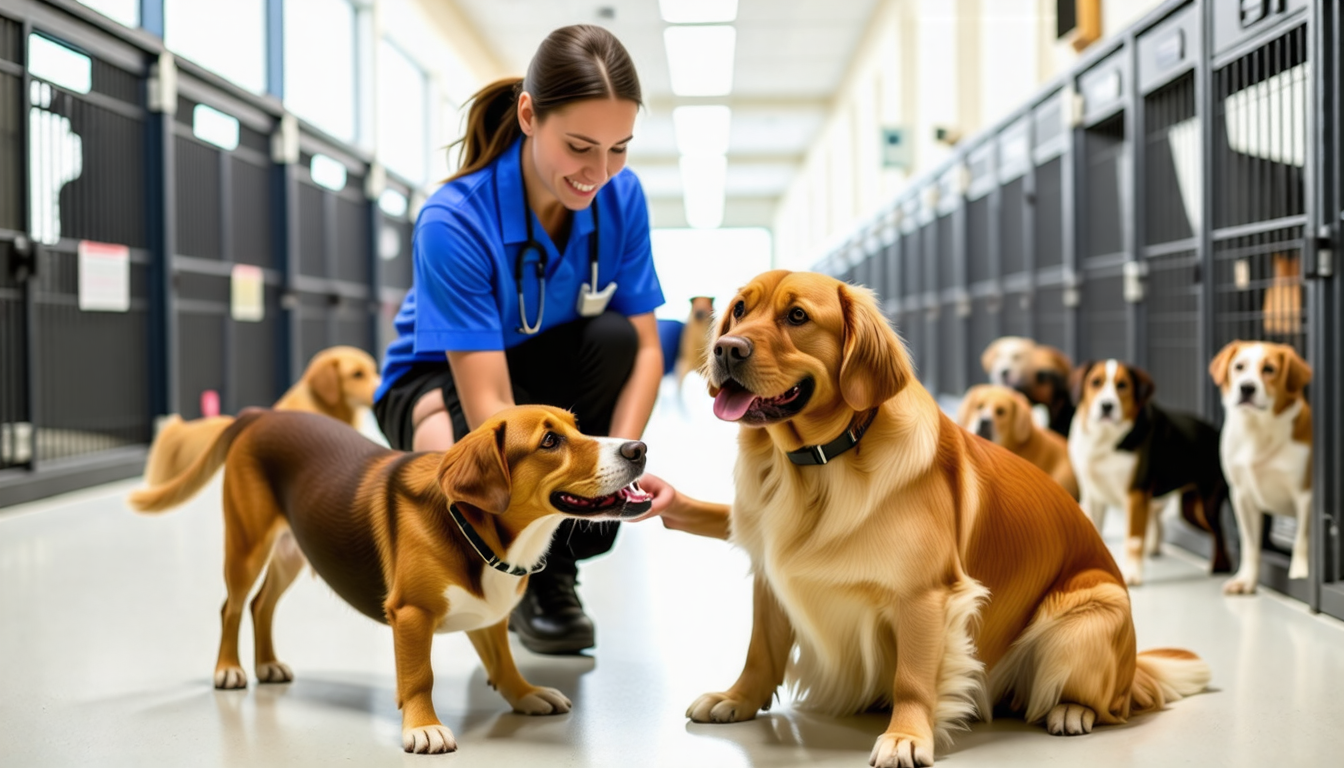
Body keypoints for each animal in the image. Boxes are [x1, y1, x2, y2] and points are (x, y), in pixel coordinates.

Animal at [128, 406, 653, 753]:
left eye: (578, 427)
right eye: (549, 442)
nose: (638, 447)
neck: (476, 529)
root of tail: (261, 414)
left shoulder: (488, 615)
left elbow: (503, 661)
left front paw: (524, 694)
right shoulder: (412, 615)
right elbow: (419, 676)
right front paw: (423, 727)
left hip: (293, 552)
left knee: (263, 605)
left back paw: (268, 664)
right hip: (247, 545)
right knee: (233, 606)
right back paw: (229, 669)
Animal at [688, 270, 1204, 763]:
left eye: (797, 316)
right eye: (739, 309)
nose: (725, 348)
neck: (819, 465)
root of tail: (1133, 671)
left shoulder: (925, 595)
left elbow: (913, 678)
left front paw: (905, 736)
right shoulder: (770, 577)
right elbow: (761, 649)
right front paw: (737, 698)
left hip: (1088, 616)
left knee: (1111, 705)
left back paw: (1072, 709)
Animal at [1064, 360, 1231, 583]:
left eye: (1122, 385)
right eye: (1095, 382)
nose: (1107, 405)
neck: (1105, 440)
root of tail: (1217, 433)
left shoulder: (1136, 494)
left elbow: (1134, 539)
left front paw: (1132, 575)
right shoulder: (1093, 496)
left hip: (1205, 509)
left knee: (1220, 535)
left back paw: (1220, 568)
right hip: (1190, 510)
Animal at [1209, 341, 1311, 594]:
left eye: (1269, 369)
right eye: (1239, 367)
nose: (1247, 387)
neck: (1257, 430)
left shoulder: (1305, 495)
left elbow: (1302, 540)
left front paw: (1300, 573)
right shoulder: (1242, 496)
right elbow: (1250, 544)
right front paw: (1246, 580)